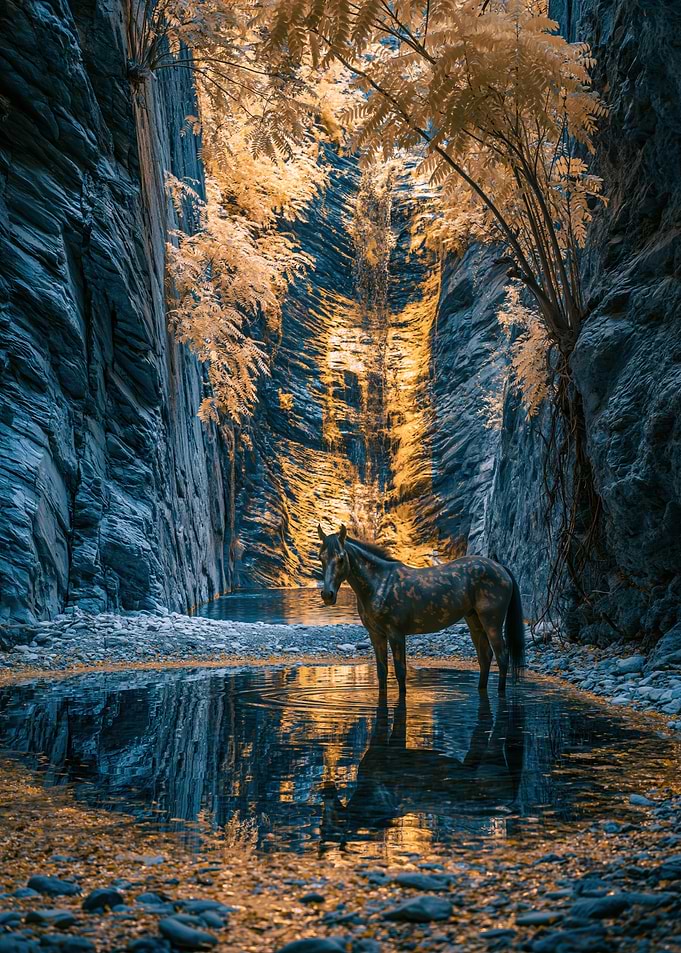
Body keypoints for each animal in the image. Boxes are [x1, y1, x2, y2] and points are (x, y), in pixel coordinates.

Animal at [317, 524, 525, 696]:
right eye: (321, 558)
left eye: (341, 558)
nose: (328, 595)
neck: (379, 584)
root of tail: (501, 568)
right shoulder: (376, 635)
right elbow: (382, 673)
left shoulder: (396, 634)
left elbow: (400, 672)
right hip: (474, 621)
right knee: (485, 658)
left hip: (492, 622)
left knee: (502, 657)